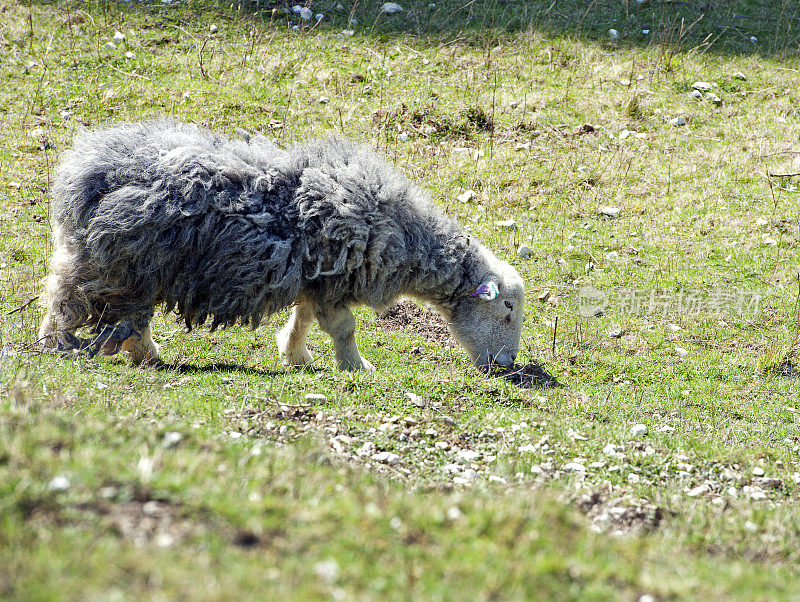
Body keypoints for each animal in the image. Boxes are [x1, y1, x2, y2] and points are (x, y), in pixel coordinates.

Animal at [39, 119, 524, 368]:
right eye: (506, 308)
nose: (505, 364)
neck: (403, 236)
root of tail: (87, 169)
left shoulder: (317, 279)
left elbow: (304, 318)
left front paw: (295, 354)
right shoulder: (333, 277)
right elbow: (344, 328)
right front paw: (355, 367)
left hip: (115, 262)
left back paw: (138, 352)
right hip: (120, 264)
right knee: (70, 299)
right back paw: (62, 344)